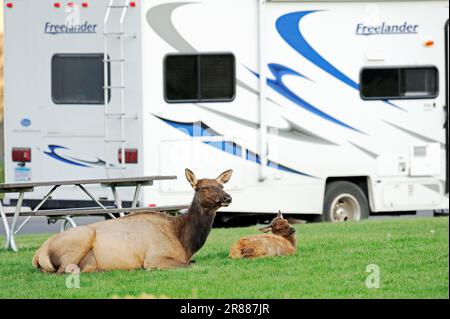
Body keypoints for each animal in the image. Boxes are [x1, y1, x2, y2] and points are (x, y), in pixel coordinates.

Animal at [33, 169, 234, 274]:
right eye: (203, 188)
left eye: (221, 185)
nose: (228, 197)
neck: (184, 240)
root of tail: (38, 255)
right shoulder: (153, 258)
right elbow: (191, 264)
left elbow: (193, 262)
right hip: (82, 237)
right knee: (66, 269)